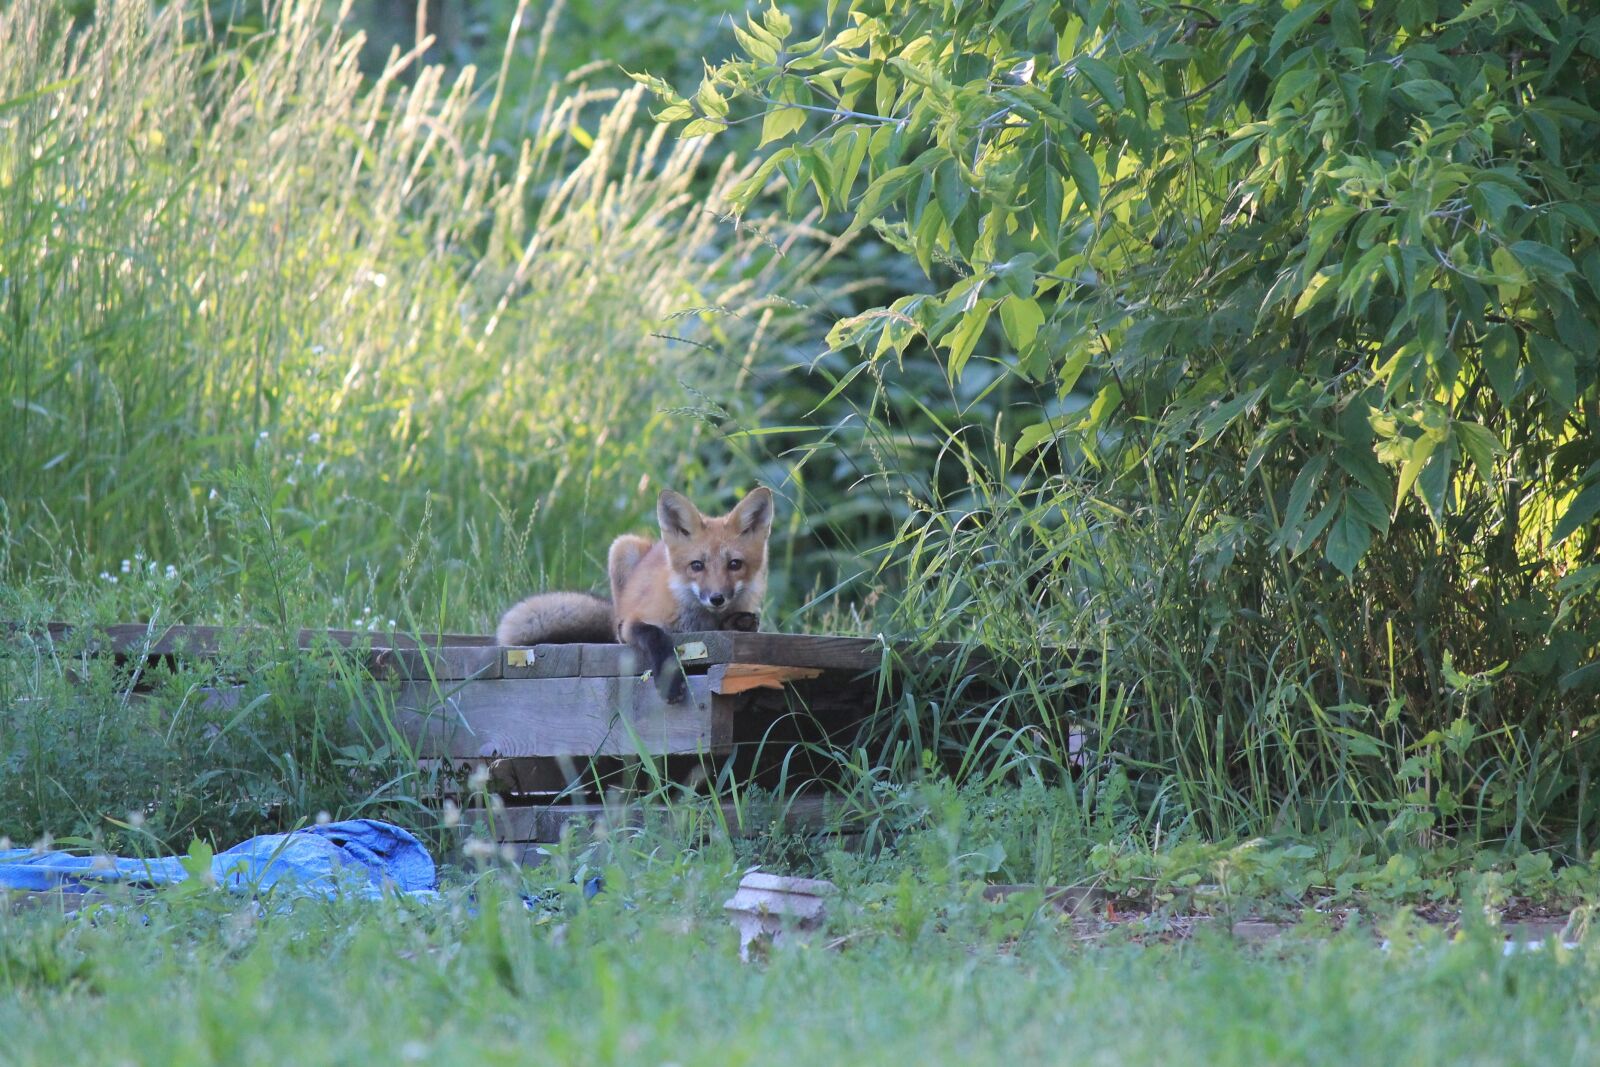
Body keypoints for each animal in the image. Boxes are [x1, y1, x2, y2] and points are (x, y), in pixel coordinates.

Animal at [495, 486, 773, 703]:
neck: (700, 621)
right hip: (622, 548)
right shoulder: (636, 621)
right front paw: (670, 679)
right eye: (697, 565)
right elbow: (654, 634)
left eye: (734, 564)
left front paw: (737, 621)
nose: (717, 598)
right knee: (615, 628)